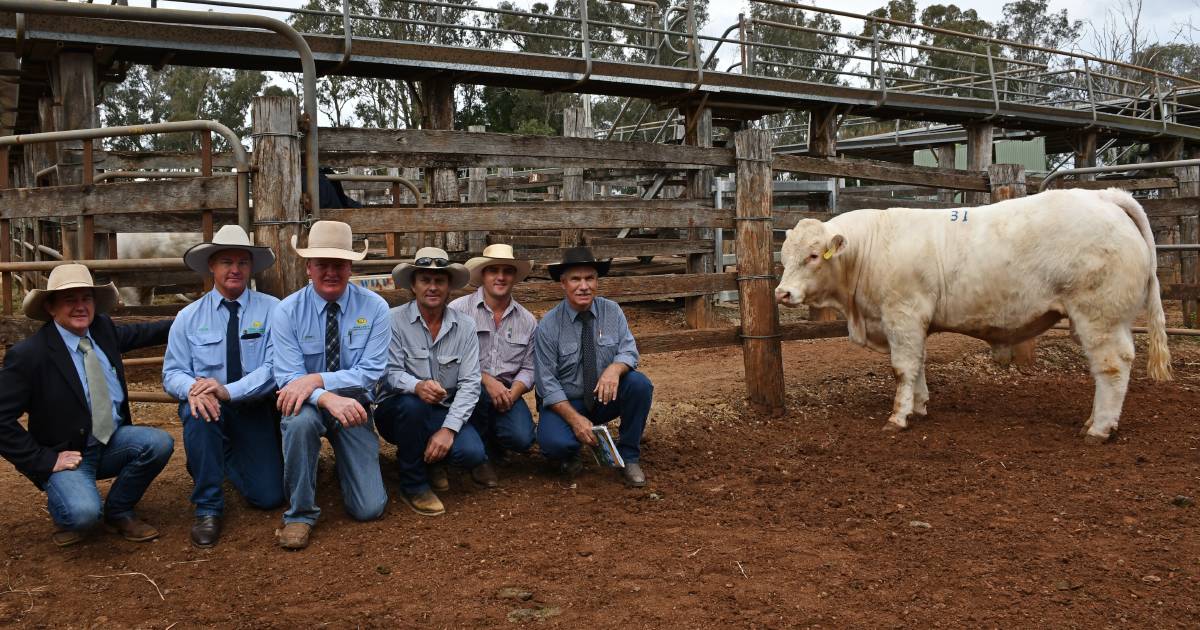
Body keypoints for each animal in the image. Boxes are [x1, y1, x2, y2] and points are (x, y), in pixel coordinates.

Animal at [777, 187, 1171, 441]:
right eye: (783, 256)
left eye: (814, 255)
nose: (783, 293)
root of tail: (1103, 196)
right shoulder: (913, 324)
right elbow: (918, 365)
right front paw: (920, 406)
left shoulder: (902, 315)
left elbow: (902, 368)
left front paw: (898, 417)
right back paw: (1092, 421)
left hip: (1099, 315)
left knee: (1112, 366)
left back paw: (1099, 429)